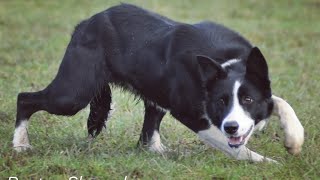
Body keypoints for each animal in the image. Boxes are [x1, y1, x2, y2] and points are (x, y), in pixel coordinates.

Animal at [12, 3, 304, 162]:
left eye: (248, 100)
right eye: (221, 102)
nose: (232, 126)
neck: (226, 62)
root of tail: (85, 22)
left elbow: (279, 101)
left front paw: (294, 139)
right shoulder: (190, 113)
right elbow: (236, 149)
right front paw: (269, 164)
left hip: (152, 92)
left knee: (147, 137)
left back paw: (161, 152)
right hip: (73, 93)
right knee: (24, 98)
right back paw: (20, 145)